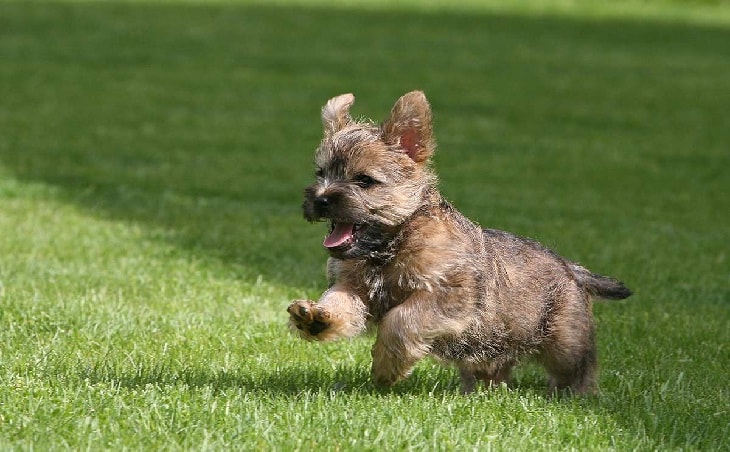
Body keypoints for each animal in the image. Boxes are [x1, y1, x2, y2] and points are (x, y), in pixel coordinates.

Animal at [288, 90, 628, 394]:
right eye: (321, 173)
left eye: (364, 180)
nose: (320, 199)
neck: (392, 245)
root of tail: (570, 268)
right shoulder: (353, 284)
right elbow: (339, 300)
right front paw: (315, 317)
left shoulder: (449, 294)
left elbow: (402, 320)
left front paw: (386, 367)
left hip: (566, 342)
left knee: (579, 369)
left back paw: (574, 397)